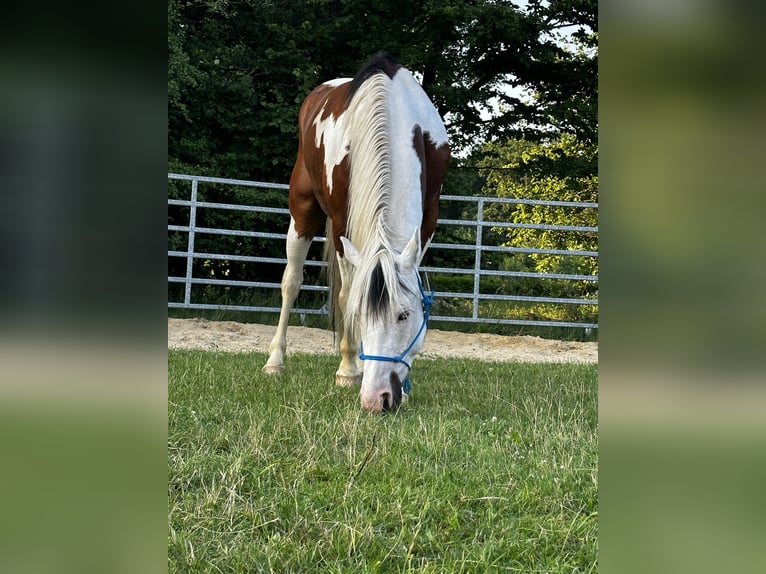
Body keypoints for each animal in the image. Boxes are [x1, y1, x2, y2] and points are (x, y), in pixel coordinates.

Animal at [262, 53, 450, 414]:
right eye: (360, 315)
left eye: (404, 315)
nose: (378, 399)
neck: (392, 112)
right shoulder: (340, 224)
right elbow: (346, 295)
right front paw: (347, 370)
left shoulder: (429, 219)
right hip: (303, 210)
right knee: (291, 283)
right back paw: (276, 361)